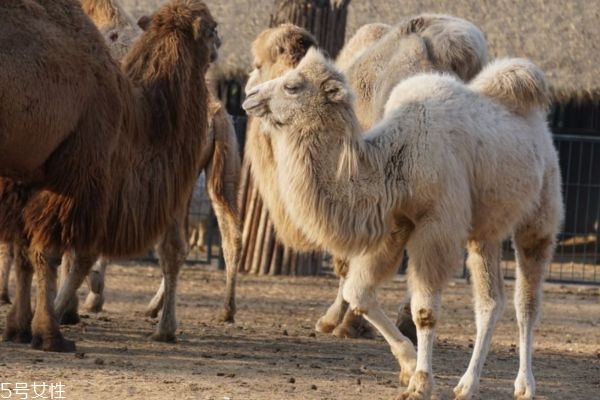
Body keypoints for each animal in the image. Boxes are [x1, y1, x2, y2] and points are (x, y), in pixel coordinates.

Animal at [0, 0, 220, 352]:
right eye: (213, 28)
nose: (219, 46)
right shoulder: (76, 169)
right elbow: (48, 251)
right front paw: (50, 334)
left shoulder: (25, 171)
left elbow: (24, 251)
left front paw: (18, 328)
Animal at [244, 49, 564, 400]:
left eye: (293, 86)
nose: (249, 96)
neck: (396, 159)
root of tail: (541, 131)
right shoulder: (396, 224)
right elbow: (359, 294)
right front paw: (409, 366)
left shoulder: (436, 225)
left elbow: (424, 311)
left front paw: (421, 383)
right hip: (485, 231)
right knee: (490, 303)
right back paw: (467, 385)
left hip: (540, 216)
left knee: (527, 303)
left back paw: (525, 385)